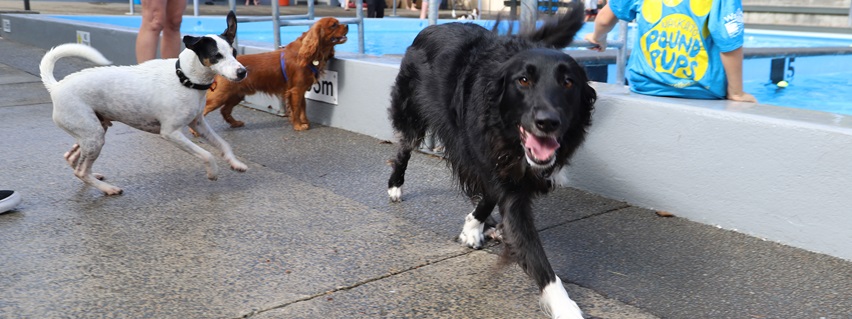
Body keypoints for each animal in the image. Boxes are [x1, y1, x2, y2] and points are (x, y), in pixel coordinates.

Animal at [40, 11, 246, 195]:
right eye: (217, 55)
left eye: (234, 52)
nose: (243, 72)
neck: (185, 79)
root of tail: (56, 86)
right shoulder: (171, 133)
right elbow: (207, 154)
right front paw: (213, 172)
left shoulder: (198, 123)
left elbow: (223, 144)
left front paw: (236, 163)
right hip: (94, 136)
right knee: (81, 171)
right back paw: (108, 189)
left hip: (92, 132)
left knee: (71, 158)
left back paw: (95, 176)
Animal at [205, 16, 348, 132]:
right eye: (334, 25)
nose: (347, 25)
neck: (306, 54)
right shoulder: (296, 90)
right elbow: (296, 109)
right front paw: (298, 126)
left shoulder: (301, 90)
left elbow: (303, 108)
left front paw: (305, 122)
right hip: (219, 96)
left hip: (236, 95)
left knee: (225, 110)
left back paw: (235, 123)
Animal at [386, 3, 592, 319]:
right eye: (523, 80)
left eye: (568, 82)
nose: (547, 122)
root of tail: (431, 28)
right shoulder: (492, 164)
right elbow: (537, 258)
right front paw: (564, 306)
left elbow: (491, 195)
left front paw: (475, 226)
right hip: (412, 114)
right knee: (403, 149)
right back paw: (395, 186)